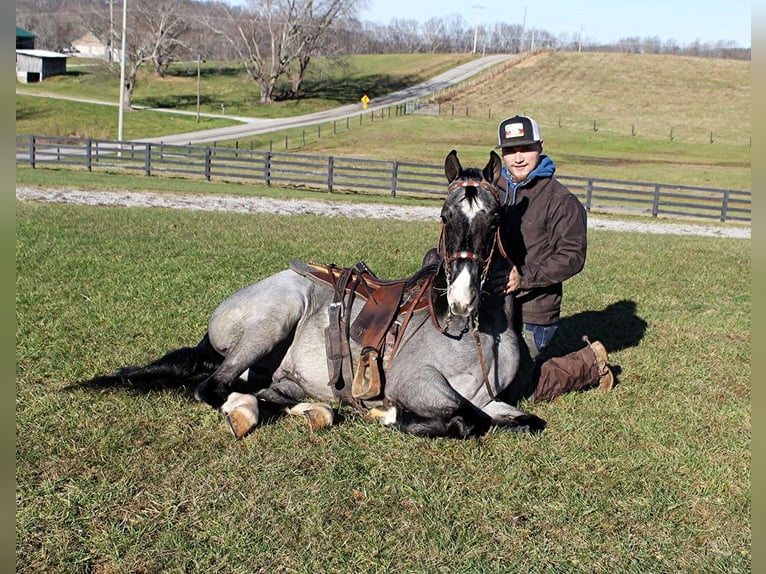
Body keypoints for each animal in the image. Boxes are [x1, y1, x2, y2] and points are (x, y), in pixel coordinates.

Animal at [78, 150, 545, 439]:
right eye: (446, 217)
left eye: (494, 219)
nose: (462, 298)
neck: (479, 337)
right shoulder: (419, 383)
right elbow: (466, 421)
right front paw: (390, 414)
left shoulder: (494, 401)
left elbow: (523, 421)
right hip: (273, 320)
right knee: (213, 387)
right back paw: (245, 410)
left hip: (280, 375)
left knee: (267, 394)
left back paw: (310, 410)